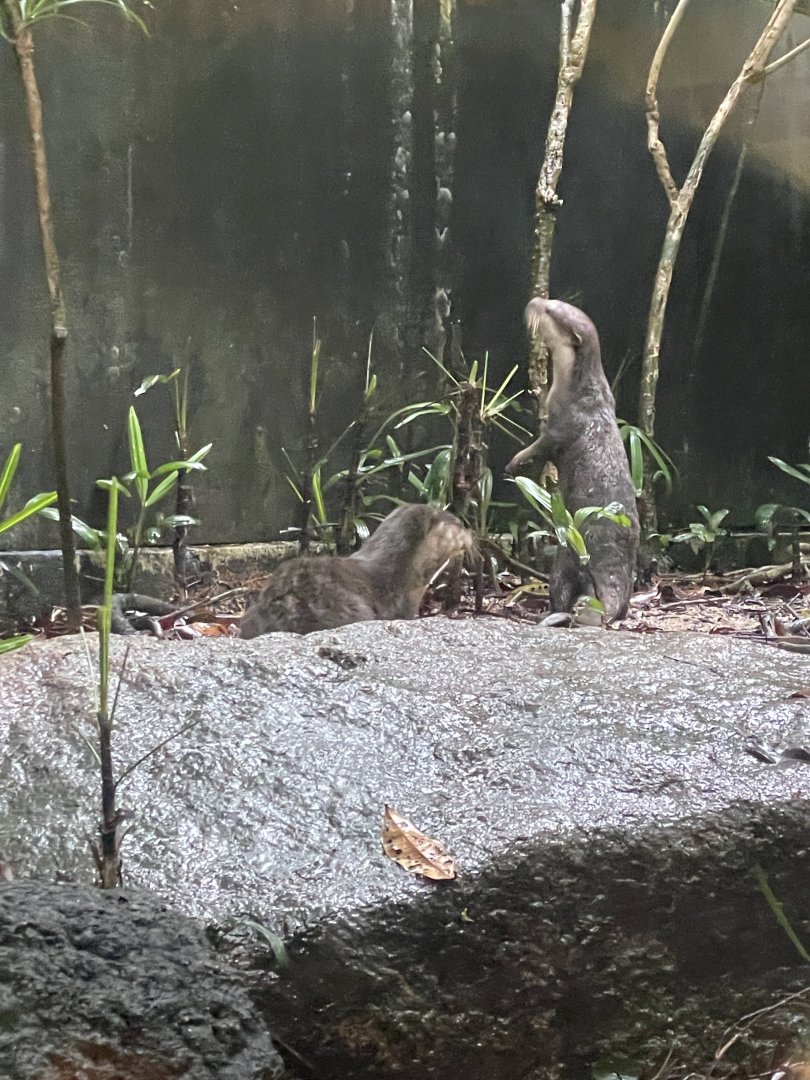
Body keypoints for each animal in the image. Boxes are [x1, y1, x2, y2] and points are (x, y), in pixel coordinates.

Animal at [506, 297, 639, 620]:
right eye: (552, 301)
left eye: (550, 311)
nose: (534, 301)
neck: (580, 392)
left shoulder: (561, 427)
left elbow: (540, 447)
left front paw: (515, 463)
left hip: (567, 555)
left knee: (561, 588)